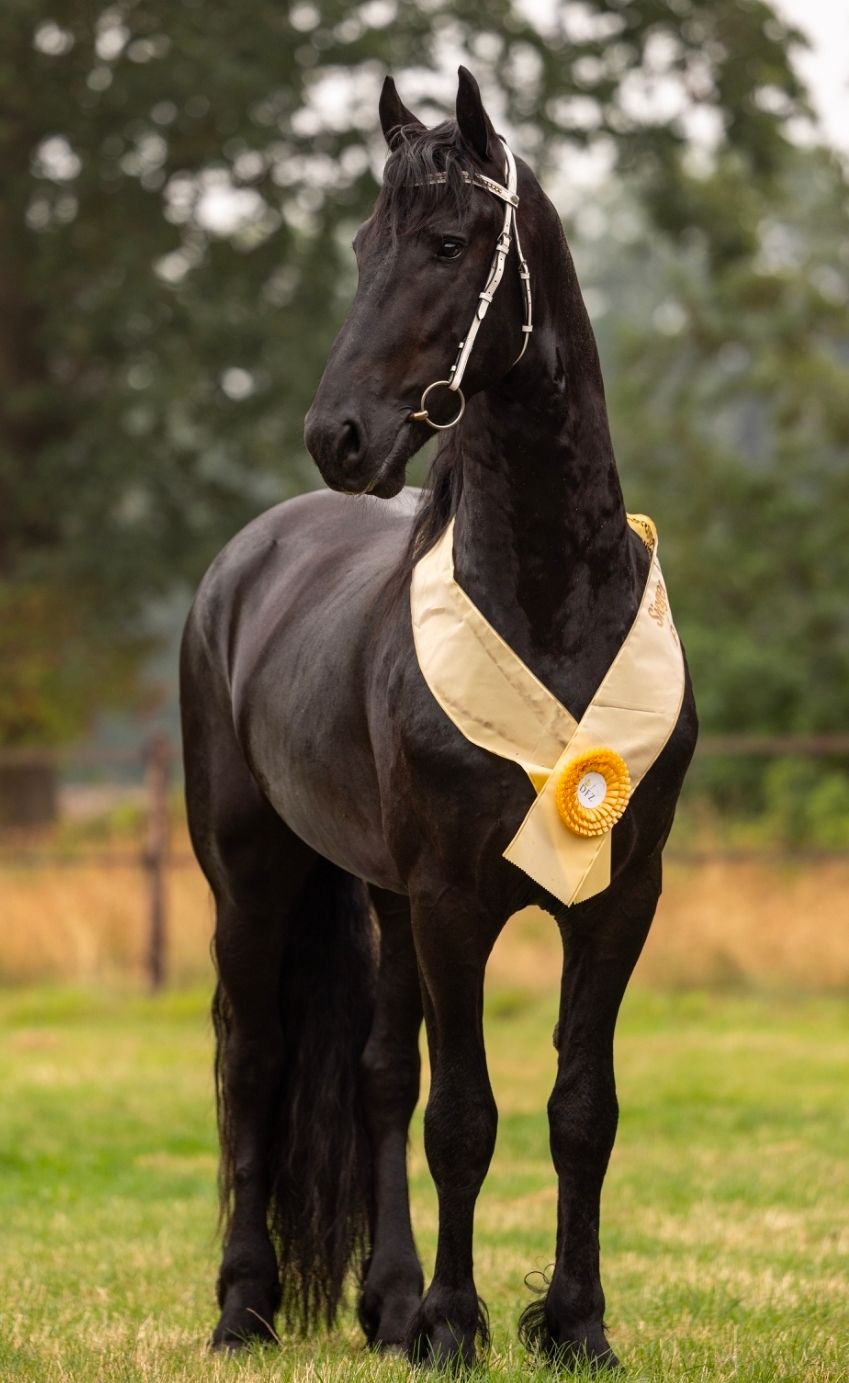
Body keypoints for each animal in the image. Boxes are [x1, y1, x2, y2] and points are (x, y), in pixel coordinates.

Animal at [180, 66, 698, 1370]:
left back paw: (387, 1303)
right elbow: (465, 1115)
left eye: (450, 244)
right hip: (254, 877)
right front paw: (461, 1328)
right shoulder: (456, 902)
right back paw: (246, 1308)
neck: (553, 603)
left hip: (380, 895)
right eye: (366, 247)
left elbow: (580, 1110)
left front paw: (575, 1326)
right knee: (252, 1061)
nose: (341, 436)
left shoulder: (620, 899)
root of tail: (245, 561)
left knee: (374, 1075)